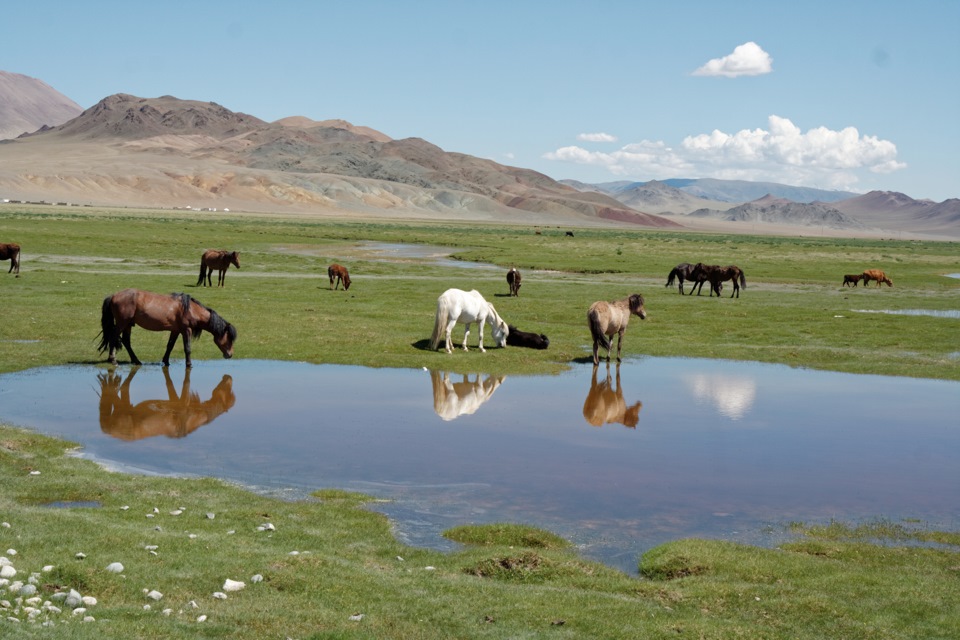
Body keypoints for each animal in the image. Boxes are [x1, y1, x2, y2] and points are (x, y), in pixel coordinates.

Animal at [97, 288, 238, 368]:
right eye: (229, 338)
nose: (230, 354)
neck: (191, 309)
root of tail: (113, 296)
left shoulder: (175, 330)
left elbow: (169, 346)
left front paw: (166, 361)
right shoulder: (186, 330)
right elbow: (187, 348)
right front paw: (189, 364)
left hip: (128, 325)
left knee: (126, 341)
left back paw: (136, 361)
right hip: (122, 323)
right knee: (113, 337)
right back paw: (113, 360)